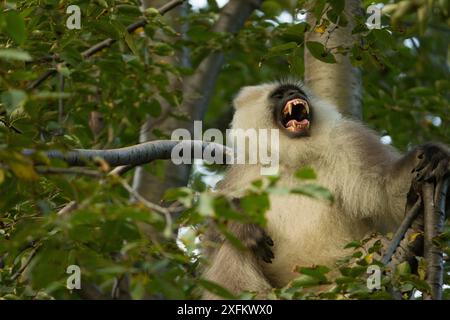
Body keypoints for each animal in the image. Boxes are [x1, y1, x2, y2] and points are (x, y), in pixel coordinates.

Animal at [201, 79, 450, 298]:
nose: (293, 94)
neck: (291, 159)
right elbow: (213, 239)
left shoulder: (348, 141)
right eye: (279, 95)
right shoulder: (242, 174)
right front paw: (240, 221)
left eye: (295, 91)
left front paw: (432, 155)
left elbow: (385, 190)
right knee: (235, 245)